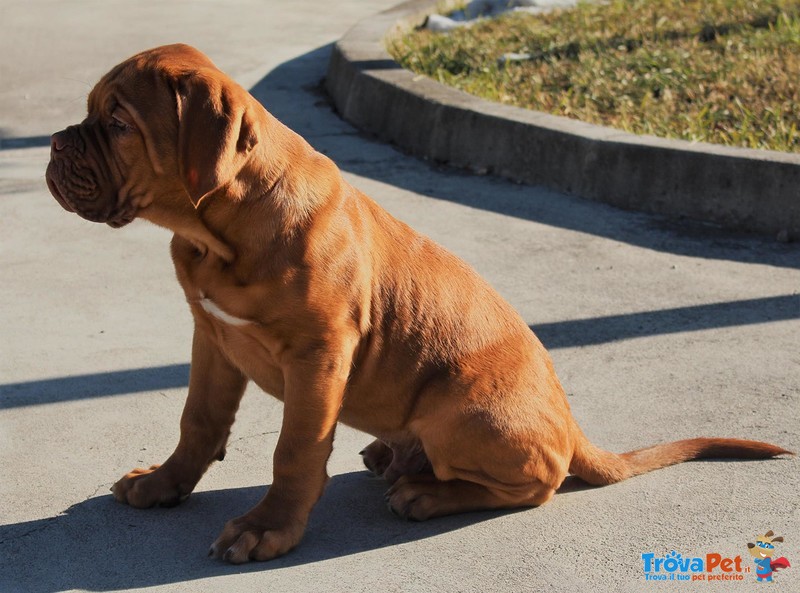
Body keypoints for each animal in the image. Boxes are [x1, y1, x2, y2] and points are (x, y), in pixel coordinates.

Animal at [47, 44, 792, 560]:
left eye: (117, 122)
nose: (53, 142)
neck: (217, 232)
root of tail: (573, 425)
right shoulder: (212, 336)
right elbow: (197, 421)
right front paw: (163, 483)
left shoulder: (319, 356)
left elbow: (294, 449)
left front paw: (268, 528)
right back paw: (391, 457)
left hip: (461, 412)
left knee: (540, 482)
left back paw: (426, 492)